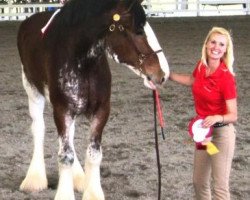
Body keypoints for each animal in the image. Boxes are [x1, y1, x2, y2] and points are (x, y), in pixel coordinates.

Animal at [17, 0, 170, 199]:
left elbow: (94, 154)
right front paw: (64, 193)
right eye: (138, 31)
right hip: (32, 91)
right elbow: (65, 156)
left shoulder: (101, 111)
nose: (162, 74)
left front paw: (92, 192)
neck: (82, 64)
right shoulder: (62, 110)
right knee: (39, 129)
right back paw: (34, 179)